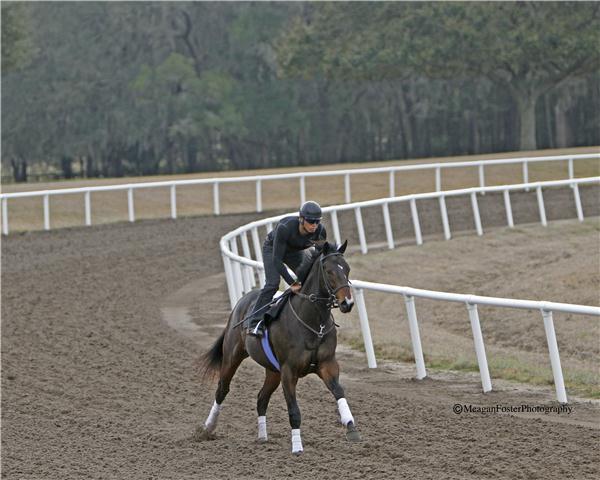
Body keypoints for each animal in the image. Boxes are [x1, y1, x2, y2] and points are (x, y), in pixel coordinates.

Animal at [197, 240, 360, 454]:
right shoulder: (289, 371)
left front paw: (351, 426)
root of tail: (242, 302)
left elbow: (339, 392)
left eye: (347, 269)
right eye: (329, 270)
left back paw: (262, 437)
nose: (347, 303)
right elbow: (294, 410)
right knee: (222, 390)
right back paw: (208, 428)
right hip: (233, 356)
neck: (313, 322)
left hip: (273, 371)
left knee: (261, 398)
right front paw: (297, 447)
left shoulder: (327, 364)